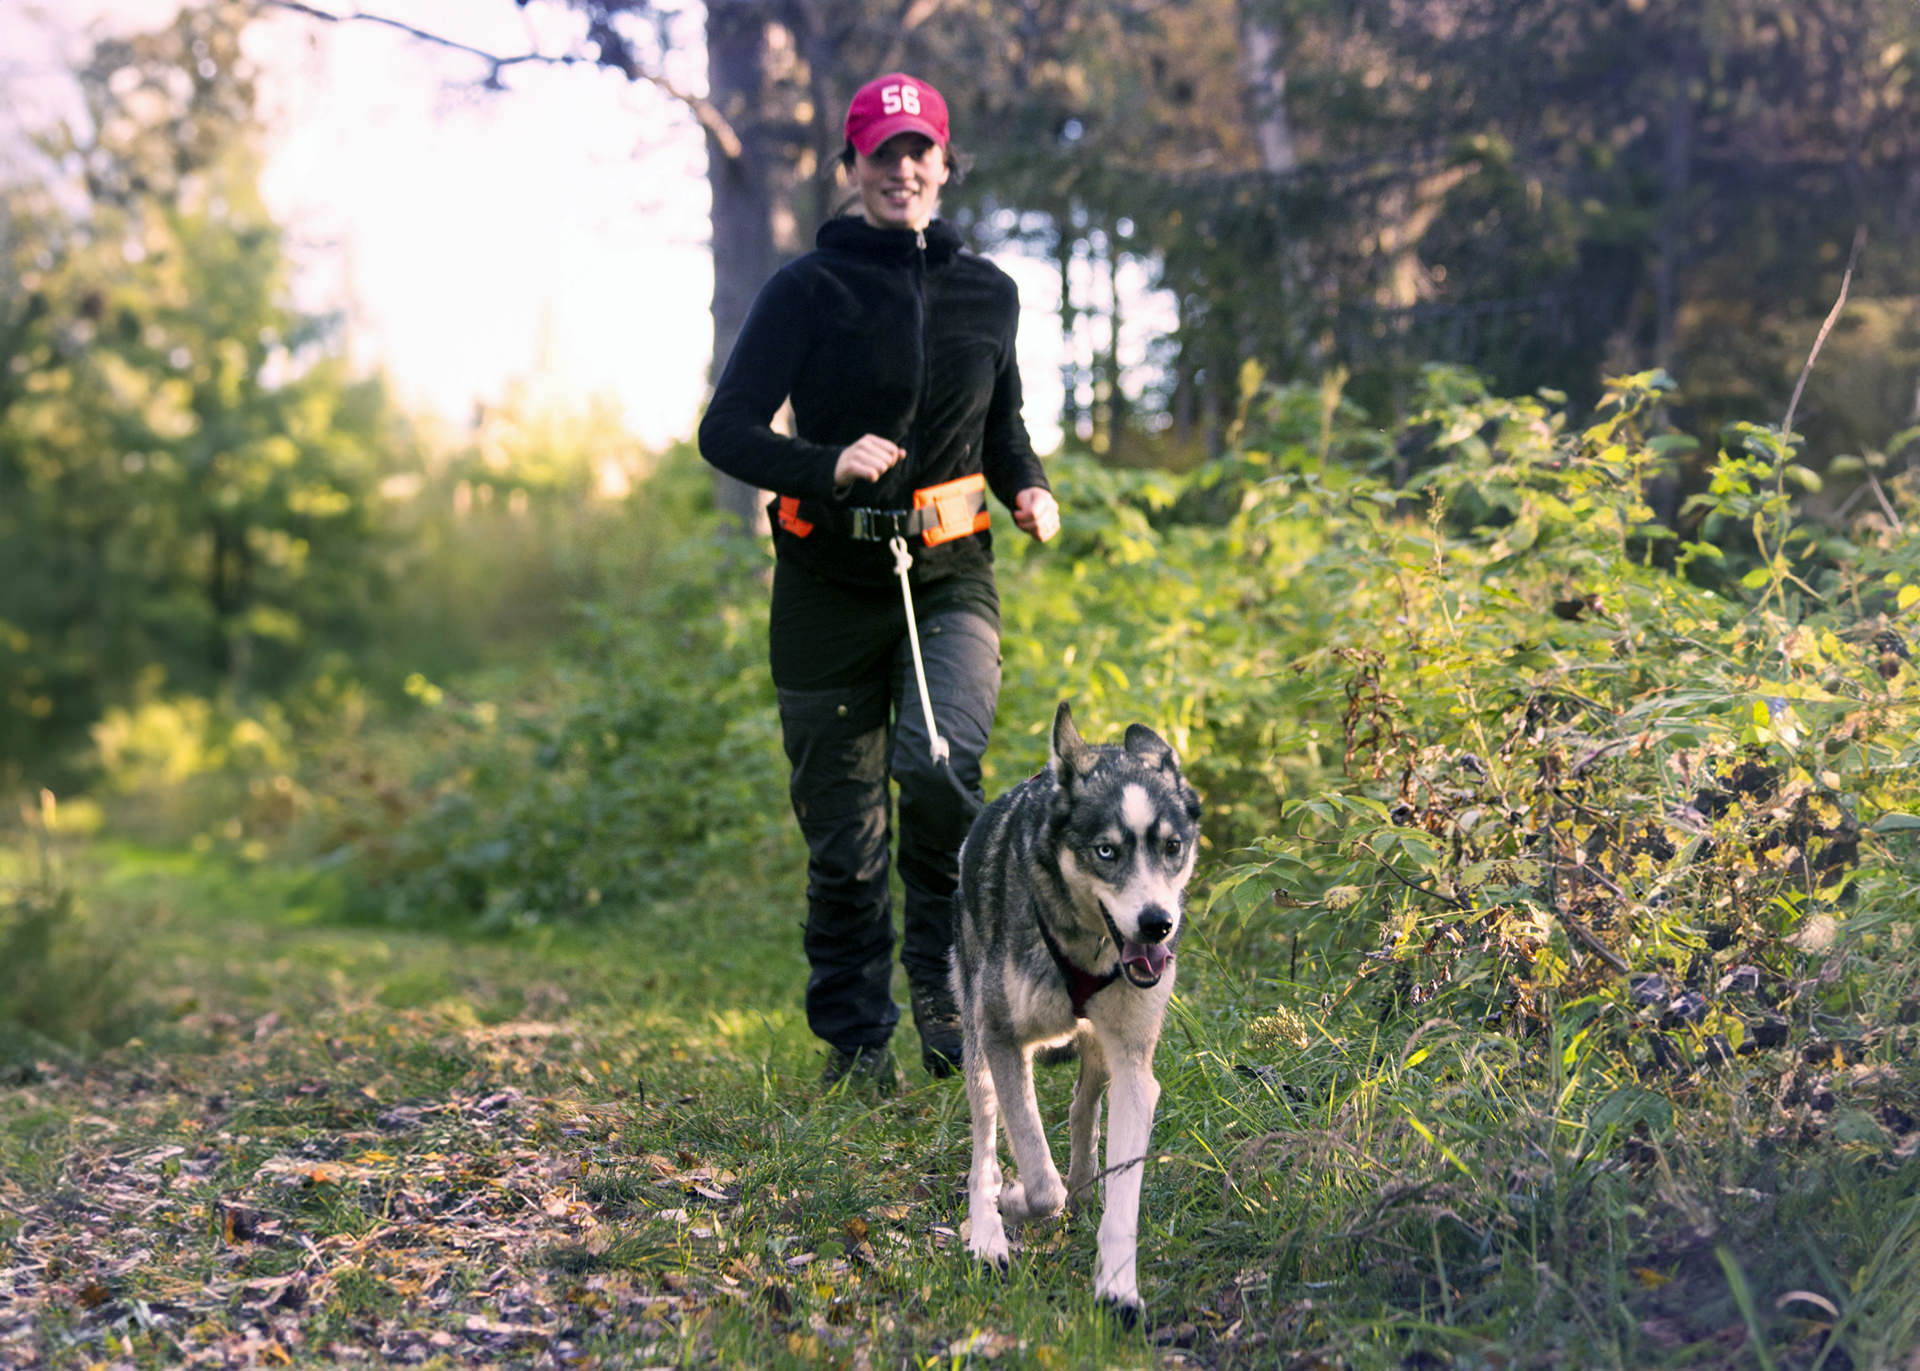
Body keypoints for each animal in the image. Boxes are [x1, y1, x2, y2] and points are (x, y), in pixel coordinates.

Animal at [956, 698, 1205, 1321]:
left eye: (1172, 847)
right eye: (1106, 851)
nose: (1157, 923)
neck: (1087, 946)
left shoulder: (1137, 1071)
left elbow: (1124, 1196)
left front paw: (1118, 1286)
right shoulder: (1002, 1039)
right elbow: (1037, 1176)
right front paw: (1015, 1201)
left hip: (1099, 1053)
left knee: (1082, 1108)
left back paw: (1085, 1185)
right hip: (976, 1044)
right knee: (984, 1144)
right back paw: (988, 1232)